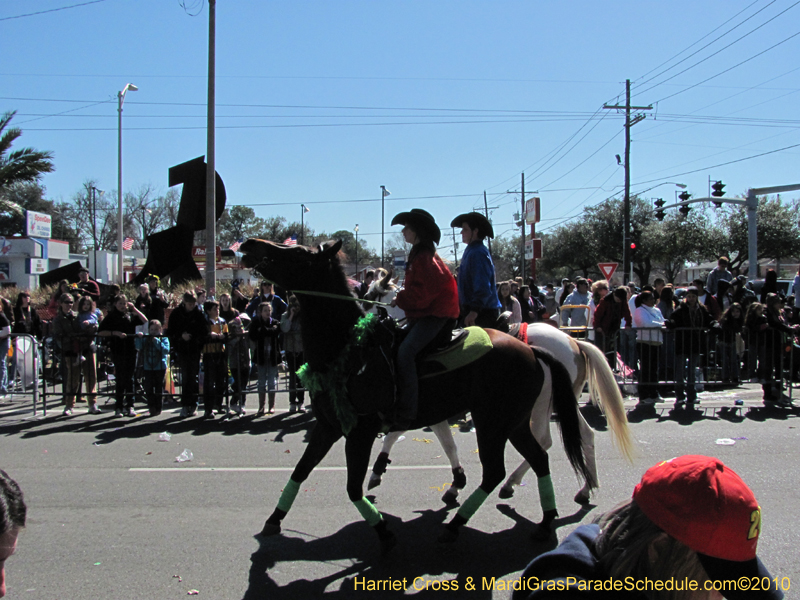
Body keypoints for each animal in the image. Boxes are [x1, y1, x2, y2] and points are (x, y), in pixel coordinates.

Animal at [241, 239, 592, 552]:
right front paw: (274, 519)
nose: (249, 244)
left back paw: (458, 524)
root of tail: (534, 351)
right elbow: (301, 471)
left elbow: (354, 487)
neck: (349, 348)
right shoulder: (329, 426)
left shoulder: (361, 431)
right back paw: (545, 520)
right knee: (539, 457)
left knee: (499, 469)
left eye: (299, 253)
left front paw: (383, 529)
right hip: (514, 423)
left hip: (494, 423)